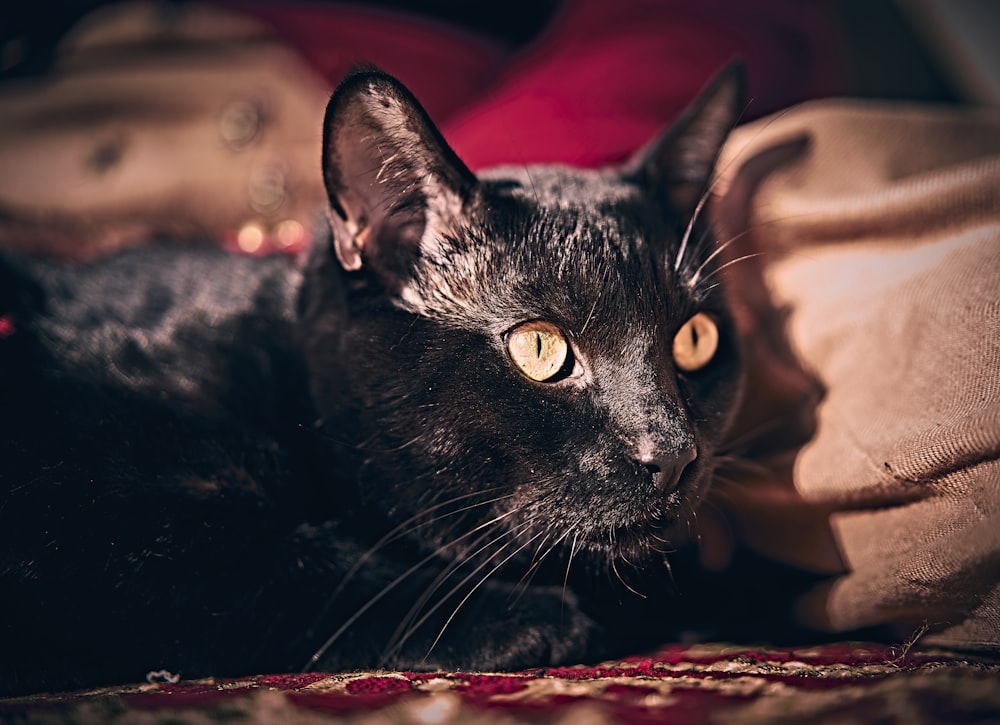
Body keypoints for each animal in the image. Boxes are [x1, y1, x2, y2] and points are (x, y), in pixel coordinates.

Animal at [0, 63, 748, 696]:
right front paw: (527, 615)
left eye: (695, 339)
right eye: (540, 347)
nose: (673, 451)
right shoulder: (92, 499)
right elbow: (280, 561)